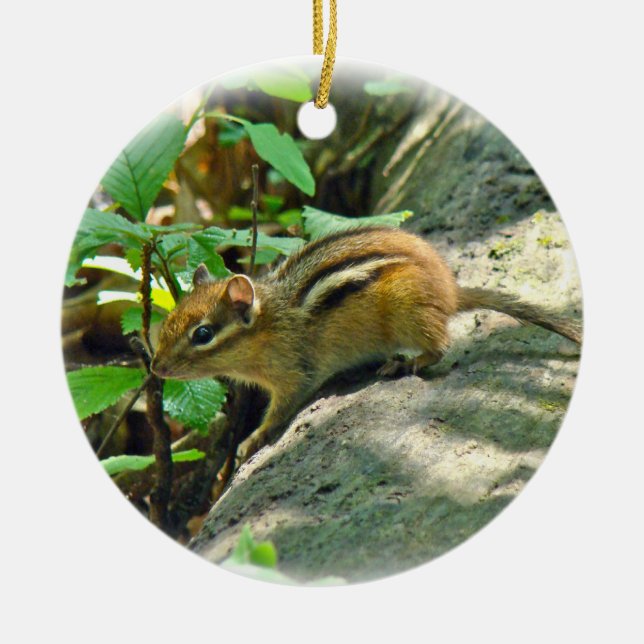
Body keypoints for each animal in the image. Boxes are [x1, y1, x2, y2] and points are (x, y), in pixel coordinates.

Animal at [151, 226, 581, 460]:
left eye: (202, 334)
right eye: (168, 322)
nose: (156, 367)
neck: (268, 324)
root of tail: (451, 291)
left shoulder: (294, 373)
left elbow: (279, 411)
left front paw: (251, 439)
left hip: (408, 311)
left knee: (440, 346)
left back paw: (404, 362)